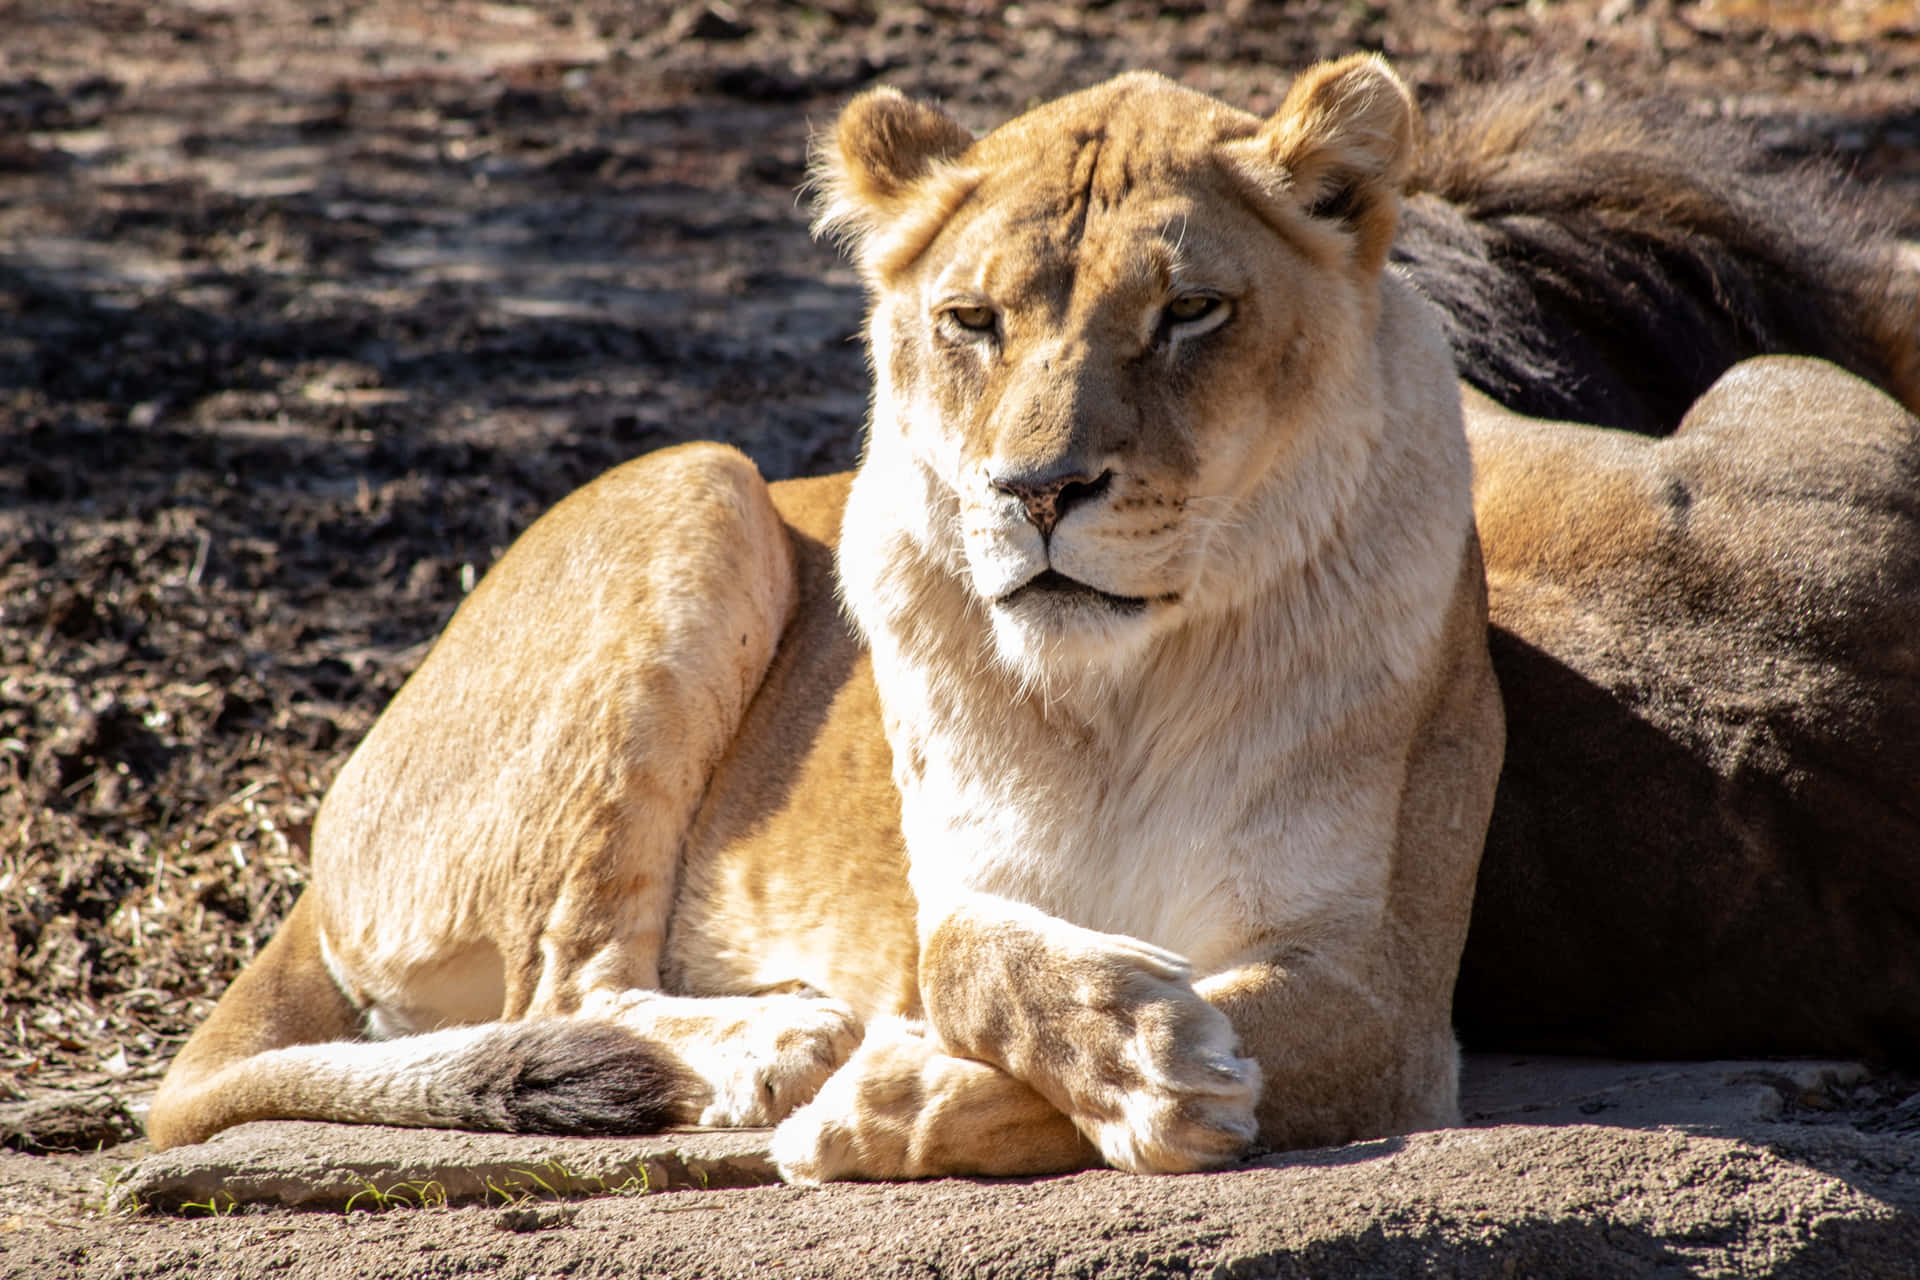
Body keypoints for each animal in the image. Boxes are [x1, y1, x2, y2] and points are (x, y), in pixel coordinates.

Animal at [147, 54, 1507, 1179]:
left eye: (1190, 313)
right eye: (972, 321)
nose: (1036, 490)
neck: (1115, 691)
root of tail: (327, 828)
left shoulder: (1387, 992)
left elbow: (1239, 1019)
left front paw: (910, 1103)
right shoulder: (956, 886)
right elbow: (962, 955)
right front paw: (1108, 1050)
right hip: (699, 480)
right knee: (561, 991)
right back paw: (778, 1039)